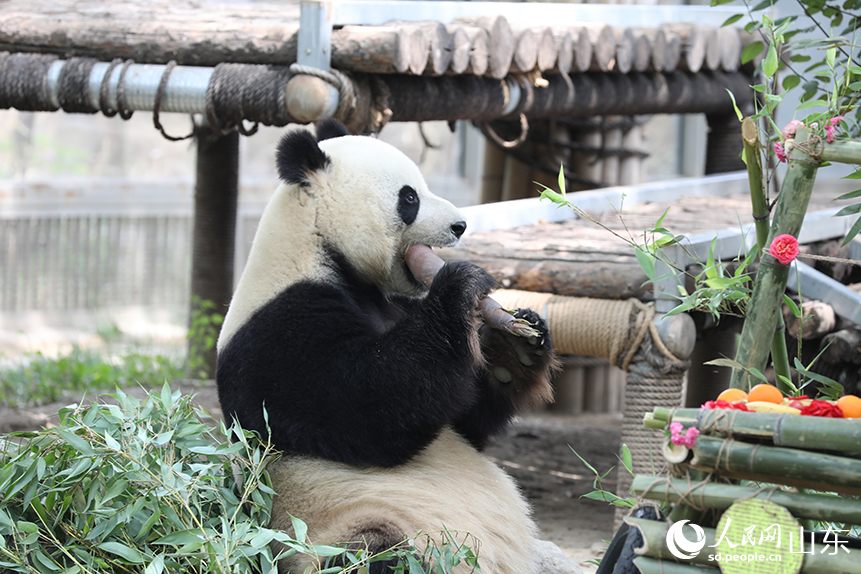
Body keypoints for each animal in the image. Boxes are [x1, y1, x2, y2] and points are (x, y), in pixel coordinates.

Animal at [217, 119, 556, 572]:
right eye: (409, 197)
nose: (460, 225)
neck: (318, 246)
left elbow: (467, 420)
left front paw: (511, 346)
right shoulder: (276, 332)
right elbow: (370, 404)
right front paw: (461, 284)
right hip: (345, 526)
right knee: (375, 552)